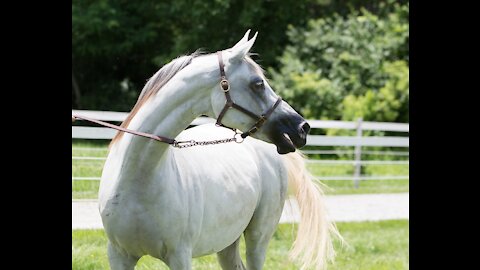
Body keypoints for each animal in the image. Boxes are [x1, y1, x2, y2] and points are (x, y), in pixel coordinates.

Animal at [98, 30, 338, 268]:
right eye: (258, 84)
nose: (301, 128)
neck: (137, 178)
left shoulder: (180, 255)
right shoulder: (118, 255)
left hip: (258, 238)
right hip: (227, 242)